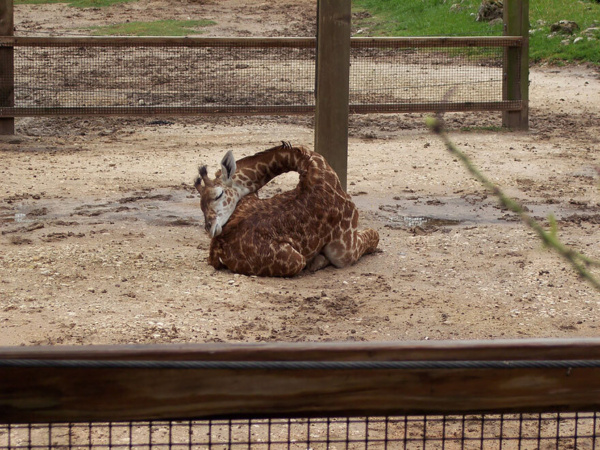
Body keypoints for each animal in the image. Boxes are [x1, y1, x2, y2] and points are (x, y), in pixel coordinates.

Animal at [195, 142, 378, 276]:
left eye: (218, 195)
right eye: (201, 205)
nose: (209, 228)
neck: (314, 166)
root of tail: (216, 249)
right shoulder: (345, 250)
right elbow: (375, 234)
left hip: (251, 197)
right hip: (296, 260)